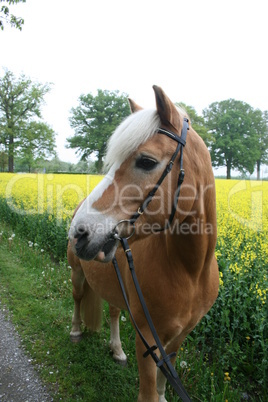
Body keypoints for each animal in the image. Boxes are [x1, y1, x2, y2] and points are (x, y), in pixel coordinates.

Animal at [67, 86, 220, 400]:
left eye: (146, 161)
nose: (79, 232)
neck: (190, 271)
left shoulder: (177, 338)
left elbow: (163, 384)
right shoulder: (148, 340)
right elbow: (149, 392)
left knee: (114, 311)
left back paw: (116, 350)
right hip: (76, 273)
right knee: (77, 298)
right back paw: (75, 331)